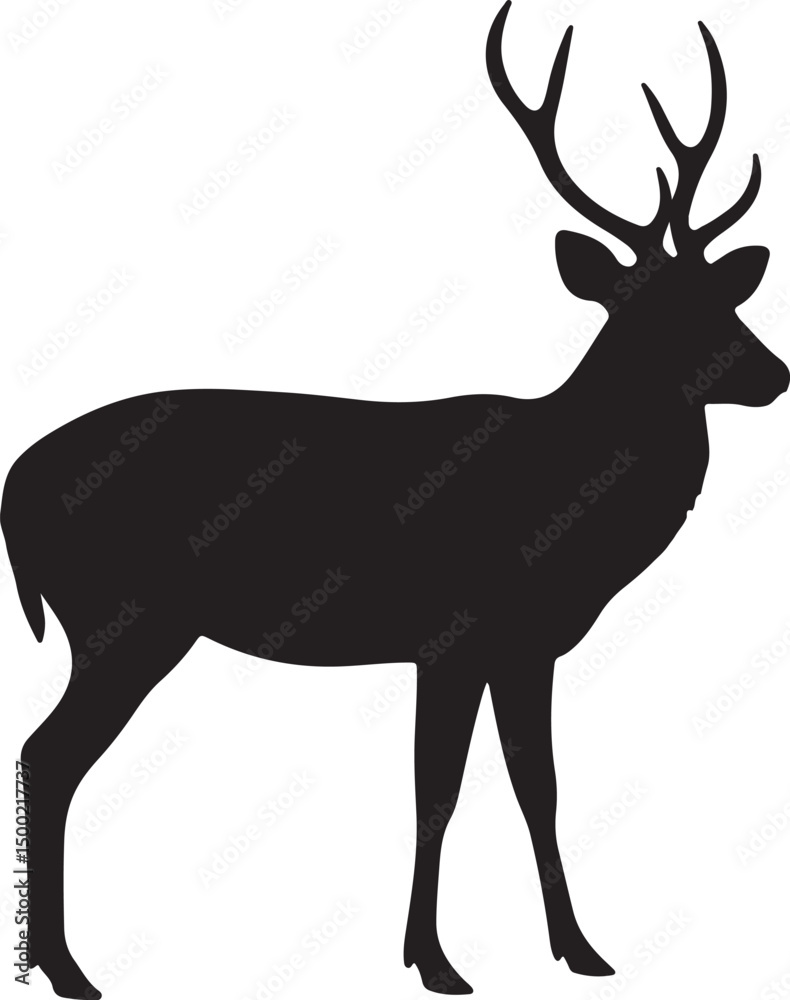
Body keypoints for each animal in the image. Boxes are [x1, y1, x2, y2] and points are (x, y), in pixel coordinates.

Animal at [3, 2, 787, 997]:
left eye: (724, 297)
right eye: (651, 309)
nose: (775, 375)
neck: (565, 512)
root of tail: (15, 485)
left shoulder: (525, 644)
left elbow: (537, 785)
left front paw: (581, 950)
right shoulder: (454, 631)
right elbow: (437, 790)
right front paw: (436, 961)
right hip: (124, 617)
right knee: (49, 753)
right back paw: (69, 969)